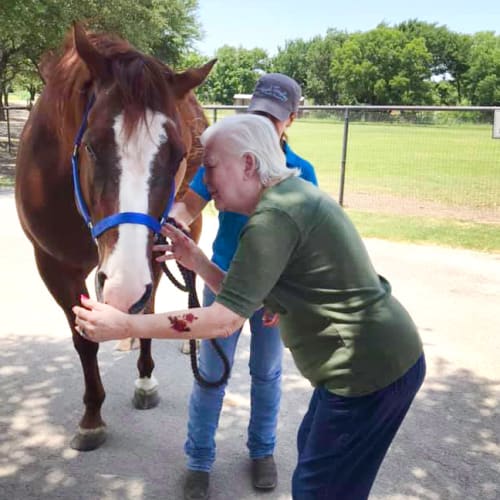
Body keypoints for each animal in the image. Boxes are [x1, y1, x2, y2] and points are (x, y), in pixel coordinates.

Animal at [14, 23, 214, 452]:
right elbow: (84, 338)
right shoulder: (54, 266)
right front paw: (91, 417)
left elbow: (148, 311)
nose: (123, 287)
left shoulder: (151, 249)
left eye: (177, 154)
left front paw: (144, 380)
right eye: (91, 145)